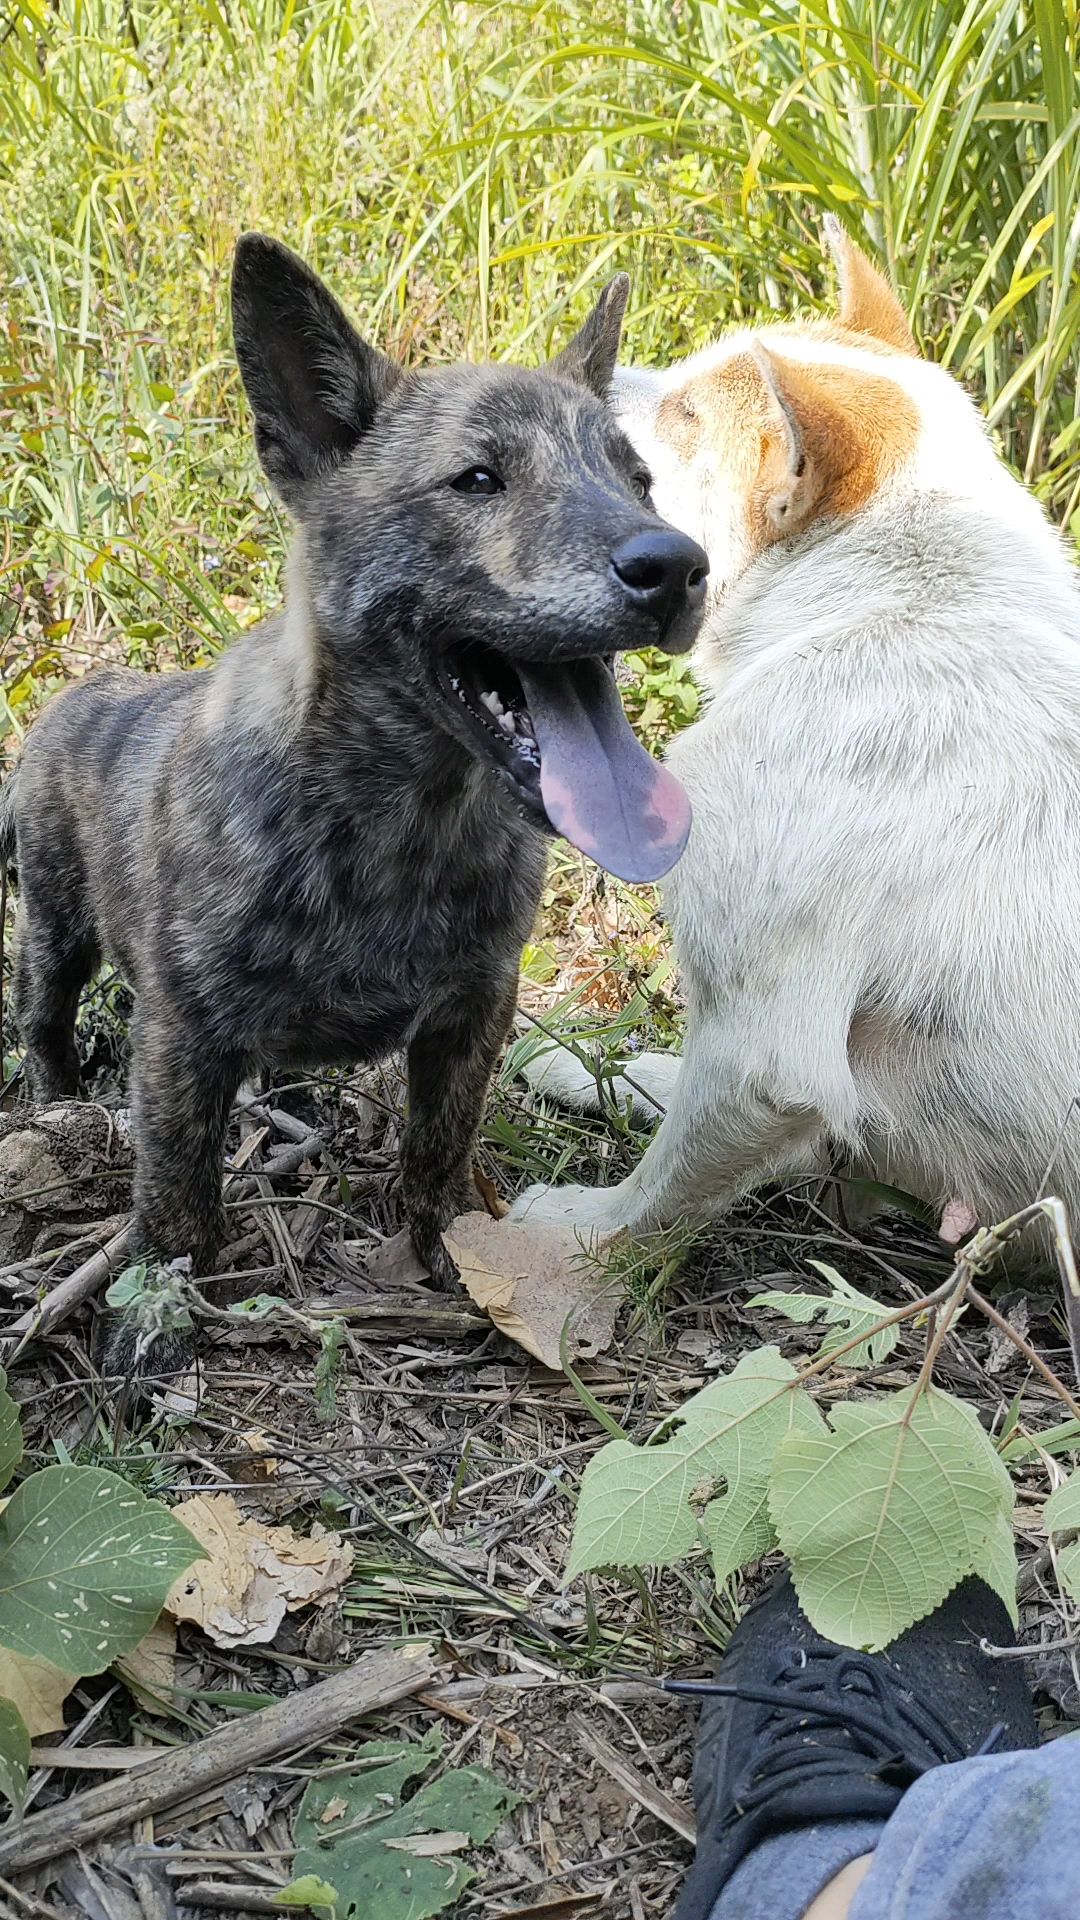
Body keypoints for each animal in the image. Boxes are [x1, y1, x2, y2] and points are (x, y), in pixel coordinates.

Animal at [2, 236, 707, 1382]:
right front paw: (158, 1306)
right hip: (57, 924)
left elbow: (437, 1149)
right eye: (478, 480)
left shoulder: (472, 1011)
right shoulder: (180, 1034)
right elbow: (177, 1188)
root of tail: (83, 693)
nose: (678, 565)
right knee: (45, 1015)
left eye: (638, 480)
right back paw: (57, 1099)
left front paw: (450, 1254)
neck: (399, 819)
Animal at [507, 220, 1076, 1244]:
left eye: (688, 414)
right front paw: (582, 1063)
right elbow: (659, 1089)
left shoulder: (764, 1058)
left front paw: (562, 1233)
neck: (895, 601)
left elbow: (652, 1195)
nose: (562, 373)